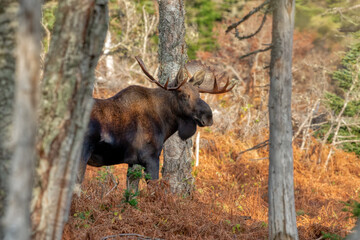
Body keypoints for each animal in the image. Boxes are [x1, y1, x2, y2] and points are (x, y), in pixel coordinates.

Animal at [76, 57, 233, 185]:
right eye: (183, 95)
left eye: (198, 94)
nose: (208, 116)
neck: (164, 122)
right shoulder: (150, 157)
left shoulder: (133, 163)